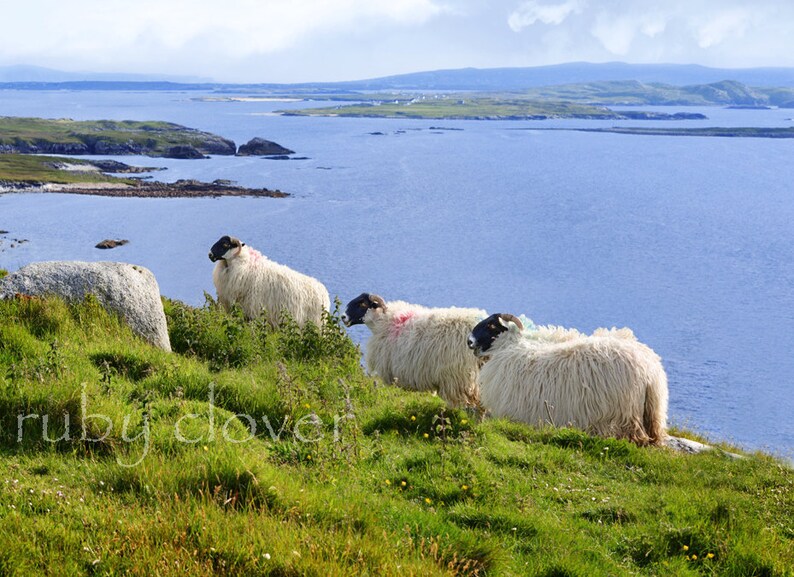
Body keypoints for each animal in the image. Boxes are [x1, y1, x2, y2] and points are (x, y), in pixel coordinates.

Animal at [467, 313, 668, 445]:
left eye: (491, 325)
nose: (469, 341)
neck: (508, 347)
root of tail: (650, 372)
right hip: (651, 414)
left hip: (625, 413)